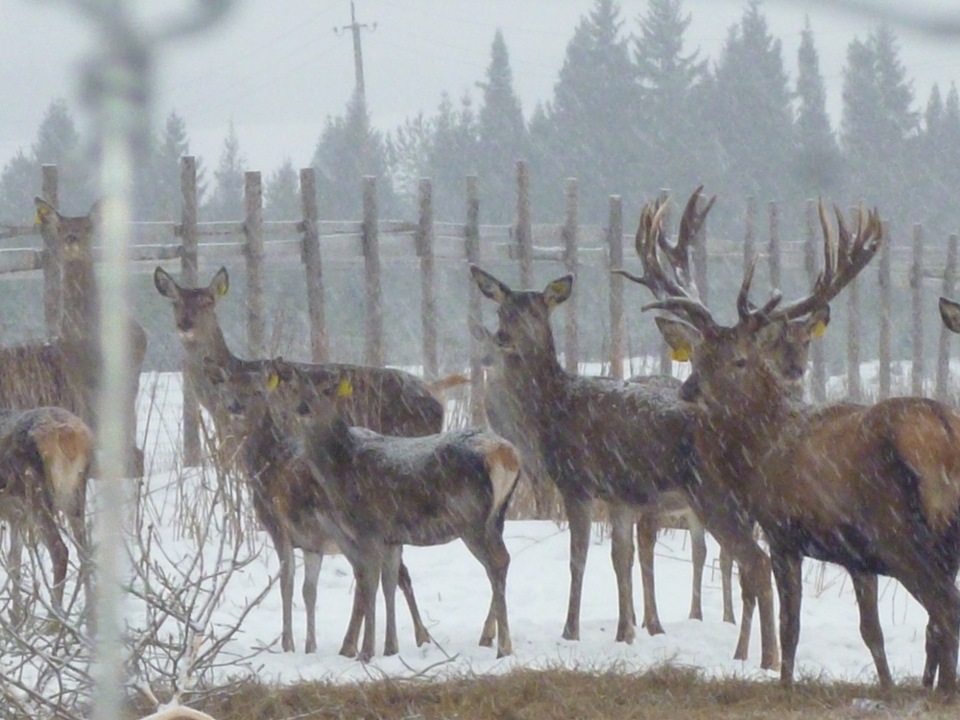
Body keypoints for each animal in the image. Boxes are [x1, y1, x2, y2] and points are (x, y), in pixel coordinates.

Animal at [0, 404, 94, 624]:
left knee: (60, 550)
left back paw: (55, 621)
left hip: (36, 493)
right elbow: (14, 562)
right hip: (76, 495)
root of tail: (67, 433)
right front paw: (17, 619)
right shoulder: (16, 516)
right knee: (84, 551)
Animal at [155, 266, 446, 652]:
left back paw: (404, 637)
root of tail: (438, 403)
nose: (185, 323)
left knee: (390, 567)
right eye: (175, 301)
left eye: (207, 302)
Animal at [253, 358, 516, 660]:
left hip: (471, 518)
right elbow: (390, 580)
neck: (339, 468)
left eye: (328, 389)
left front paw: (366, 652)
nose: (303, 408)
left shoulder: (368, 528)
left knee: (496, 562)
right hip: (497, 516)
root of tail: (506, 455)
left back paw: (503, 646)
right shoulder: (392, 536)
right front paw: (390, 648)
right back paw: (494, 639)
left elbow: (369, 580)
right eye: (297, 388)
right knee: (503, 560)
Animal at [470, 262, 780, 672]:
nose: (503, 338)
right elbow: (621, 557)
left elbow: (579, 556)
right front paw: (626, 632)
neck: (553, 408)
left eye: (535, 311)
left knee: (756, 563)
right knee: (755, 565)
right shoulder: (620, 495)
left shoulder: (576, 482)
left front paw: (571, 631)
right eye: (501, 311)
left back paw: (765, 659)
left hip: (716, 500)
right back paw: (754, 653)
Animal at [644, 195, 960, 692]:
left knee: (946, 609)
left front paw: (785, 682)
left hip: (902, 533)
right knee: (941, 616)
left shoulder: (782, 531)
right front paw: (887, 687)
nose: (688, 391)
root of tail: (942, 430)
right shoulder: (858, 557)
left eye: (740, 359)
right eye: (697, 354)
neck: (764, 446)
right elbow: (871, 631)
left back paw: (943, 691)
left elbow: (791, 624)